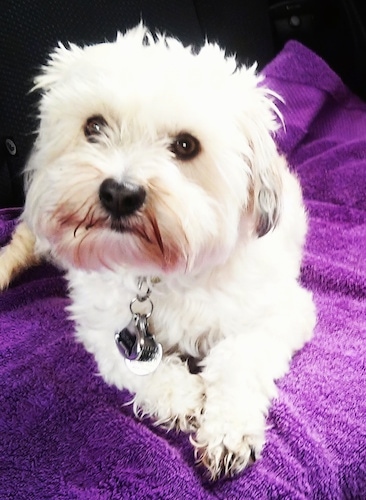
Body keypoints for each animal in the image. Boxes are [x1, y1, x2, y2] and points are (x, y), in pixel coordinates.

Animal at [0, 25, 314, 478]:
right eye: (94, 126)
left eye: (186, 146)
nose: (119, 192)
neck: (161, 272)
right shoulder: (101, 325)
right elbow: (136, 367)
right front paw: (178, 396)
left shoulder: (279, 314)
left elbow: (238, 360)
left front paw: (227, 430)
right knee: (23, 240)